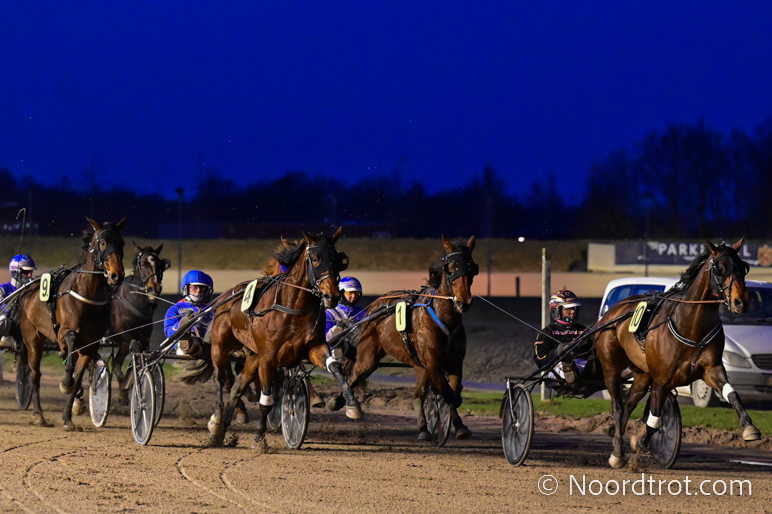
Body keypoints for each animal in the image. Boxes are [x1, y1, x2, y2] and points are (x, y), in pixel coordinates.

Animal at [16, 217, 126, 429]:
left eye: (121, 243)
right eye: (103, 243)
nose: (117, 275)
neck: (87, 294)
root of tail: (27, 291)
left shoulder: (91, 345)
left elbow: (76, 378)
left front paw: (68, 417)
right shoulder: (63, 332)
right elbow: (70, 344)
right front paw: (65, 383)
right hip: (32, 338)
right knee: (34, 375)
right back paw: (38, 415)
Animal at [109, 242, 170, 404]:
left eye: (160, 265)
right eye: (142, 263)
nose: (154, 288)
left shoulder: (144, 338)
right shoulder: (123, 338)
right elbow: (121, 362)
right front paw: (124, 392)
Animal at [181, 228, 364, 451]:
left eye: (337, 259)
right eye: (315, 258)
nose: (332, 296)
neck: (292, 309)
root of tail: (228, 295)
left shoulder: (314, 347)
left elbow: (336, 367)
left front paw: (353, 405)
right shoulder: (268, 358)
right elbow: (266, 401)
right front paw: (259, 438)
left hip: (253, 356)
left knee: (236, 388)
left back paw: (222, 429)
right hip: (220, 346)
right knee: (220, 380)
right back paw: (216, 422)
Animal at [327, 235, 477, 440]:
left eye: (472, 267)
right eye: (451, 267)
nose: (464, 302)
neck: (444, 319)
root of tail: (374, 309)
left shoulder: (453, 363)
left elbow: (454, 393)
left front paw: (460, 426)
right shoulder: (432, 362)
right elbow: (447, 393)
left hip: (417, 364)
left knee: (418, 395)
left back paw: (423, 427)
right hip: (368, 357)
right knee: (354, 375)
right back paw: (343, 403)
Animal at [595, 238, 762, 468]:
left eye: (744, 267)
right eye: (720, 268)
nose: (741, 302)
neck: (690, 325)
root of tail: (612, 311)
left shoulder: (711, 369)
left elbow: (732, 394)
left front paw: (749, 428)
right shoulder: (661, 380)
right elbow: (655, 419)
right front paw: (642, 443)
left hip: (642, 374)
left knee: (628, 404)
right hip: (610, 365)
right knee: (618, 407)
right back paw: (617, 455)